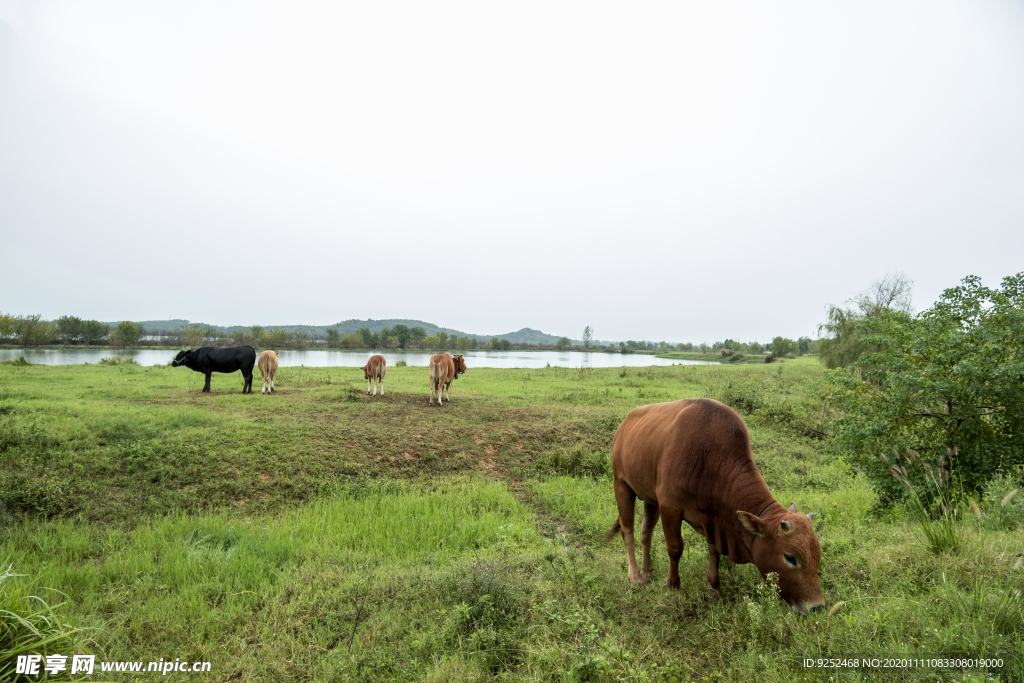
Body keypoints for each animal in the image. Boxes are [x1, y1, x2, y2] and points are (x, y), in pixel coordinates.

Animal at [606, 397, 823, 618]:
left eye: (818, 554)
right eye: (790, 557)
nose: (817, 606)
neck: (710, 459)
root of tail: (624, 423)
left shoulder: (712, 518)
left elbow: (714, 550)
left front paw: (713, 587)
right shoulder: (669, 507)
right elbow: (675, 549)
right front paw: (673, 588)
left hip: (649, 498)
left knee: (646, 532)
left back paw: (647, 572)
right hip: (621, 484)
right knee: (627, 530)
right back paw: (635, 577)